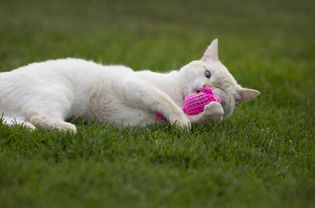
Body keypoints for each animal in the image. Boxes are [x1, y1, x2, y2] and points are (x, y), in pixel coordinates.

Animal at [0, 39, 260, 133]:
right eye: (207, 73)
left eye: (221, 91)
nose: (205, 88)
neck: (179, 95)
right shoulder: (135, 84)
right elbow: (165, 102)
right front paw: (181, 119)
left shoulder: (146, 122)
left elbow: (211, 114)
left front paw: (208, 111)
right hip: (58, 93)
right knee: (38, 116)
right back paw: (68, 128)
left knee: (22, 120)